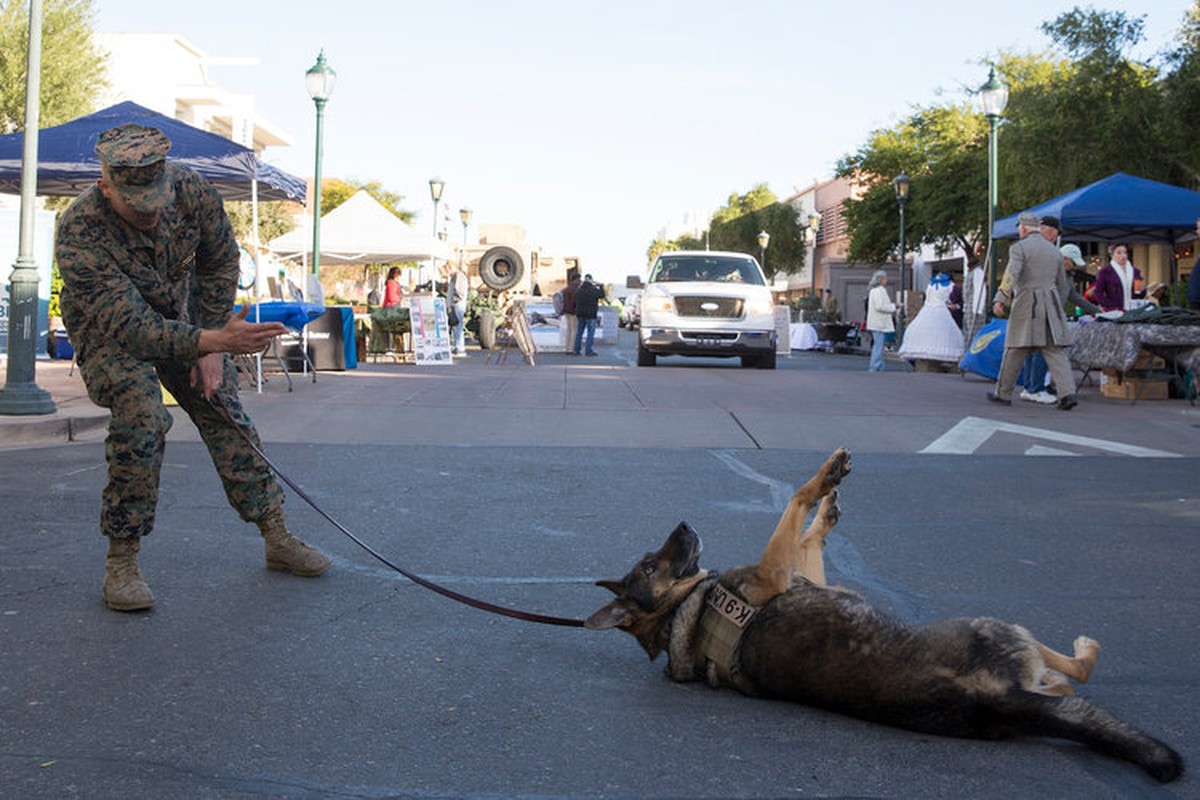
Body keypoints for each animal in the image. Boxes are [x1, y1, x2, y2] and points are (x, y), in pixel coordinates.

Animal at [585, 448, 1185, 786]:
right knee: (1078, 670)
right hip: (999, 624)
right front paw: (826, 479)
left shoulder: (807, 577)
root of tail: (997, 700)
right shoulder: (778, 573)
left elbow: (810, 532)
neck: (686, 607)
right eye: (648, 564)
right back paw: (1082, 652)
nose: (685, 524)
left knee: (1063, 686)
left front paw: (829, 510)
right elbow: (798, 501)